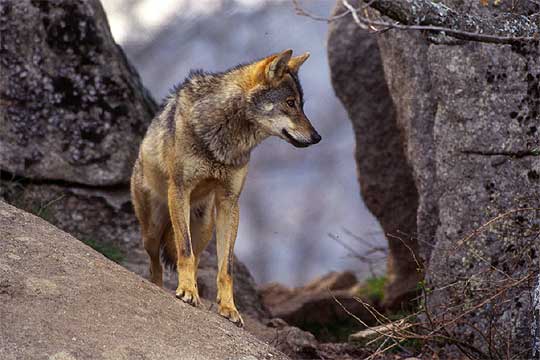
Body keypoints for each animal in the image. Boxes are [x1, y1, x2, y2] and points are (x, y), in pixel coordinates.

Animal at [131, 49, 320, 328]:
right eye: (290, 103)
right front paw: (186, 292)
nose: (317, 137)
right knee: (158, 264)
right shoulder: (181, 189)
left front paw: (229, 308)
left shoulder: (229, 203)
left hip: (203, 227)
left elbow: (225, 268)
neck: (224, 138)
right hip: (153, 230)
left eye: (301, 104)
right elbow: (184, 252)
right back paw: (166, 286)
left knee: (194, 258)